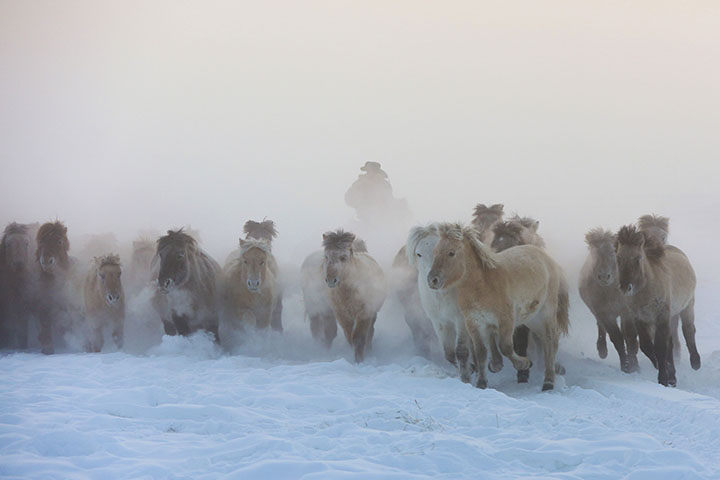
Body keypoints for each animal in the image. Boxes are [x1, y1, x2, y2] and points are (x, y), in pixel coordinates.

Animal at [300, 231, 386, 362]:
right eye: (326, 256)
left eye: (343, 257)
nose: (331, 280)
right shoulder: (342, 315)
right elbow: (350, 336)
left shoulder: (365, 312)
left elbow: (359, 337)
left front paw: (360, 360)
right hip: (316, 307)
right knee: (320, 330)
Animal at [428, 223, 568, 392]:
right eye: (435, 252)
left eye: (451, 253)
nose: (432, 280)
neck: (483, 286)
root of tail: (548, 258)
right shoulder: (474, 323)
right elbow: (481, 352)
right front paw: (482, 382)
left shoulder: (506, 321)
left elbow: (505, 347)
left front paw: (524, 363)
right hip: (532, 318)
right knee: (547, 341)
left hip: (545, 313)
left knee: (550, 340)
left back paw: (548, 381)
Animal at [580, 228, 636, 372]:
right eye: (594, 254)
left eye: (613, 252)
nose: (604, 276)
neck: (611, 291)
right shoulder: (604, 313)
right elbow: (617, 337)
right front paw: (625, 365)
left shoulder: (627, 311)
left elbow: (630, 336)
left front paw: (634, 365)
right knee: (601, 326)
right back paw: (602, 349)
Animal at [612, 225, 696, 386]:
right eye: (618, 258)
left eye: (637, 258)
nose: (625, 287)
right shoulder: (640, 318)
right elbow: (646, 345)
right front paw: (665, 371)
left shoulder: (661, 316)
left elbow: (661, 347)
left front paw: (663, 379)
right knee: (671, 343)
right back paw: (673, 376)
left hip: (687, 306)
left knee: (688, 330)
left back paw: (696, 362)